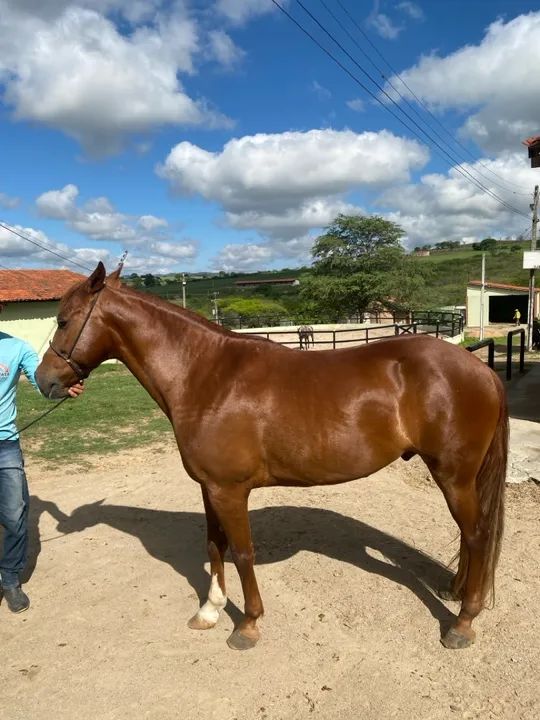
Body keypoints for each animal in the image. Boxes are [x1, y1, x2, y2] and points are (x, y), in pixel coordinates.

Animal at [36, 262, 508, 652]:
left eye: (63, 321)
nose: (43, 380)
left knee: (477, 534)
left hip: (453, 475)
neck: (205, 375)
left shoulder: (229, 491)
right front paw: (209, 611)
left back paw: (463, 622)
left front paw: (247, 625)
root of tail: (480, 370)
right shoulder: (209, 488)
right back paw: (456, 591)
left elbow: (243, 552)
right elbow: (214, 545)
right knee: (469, 535)